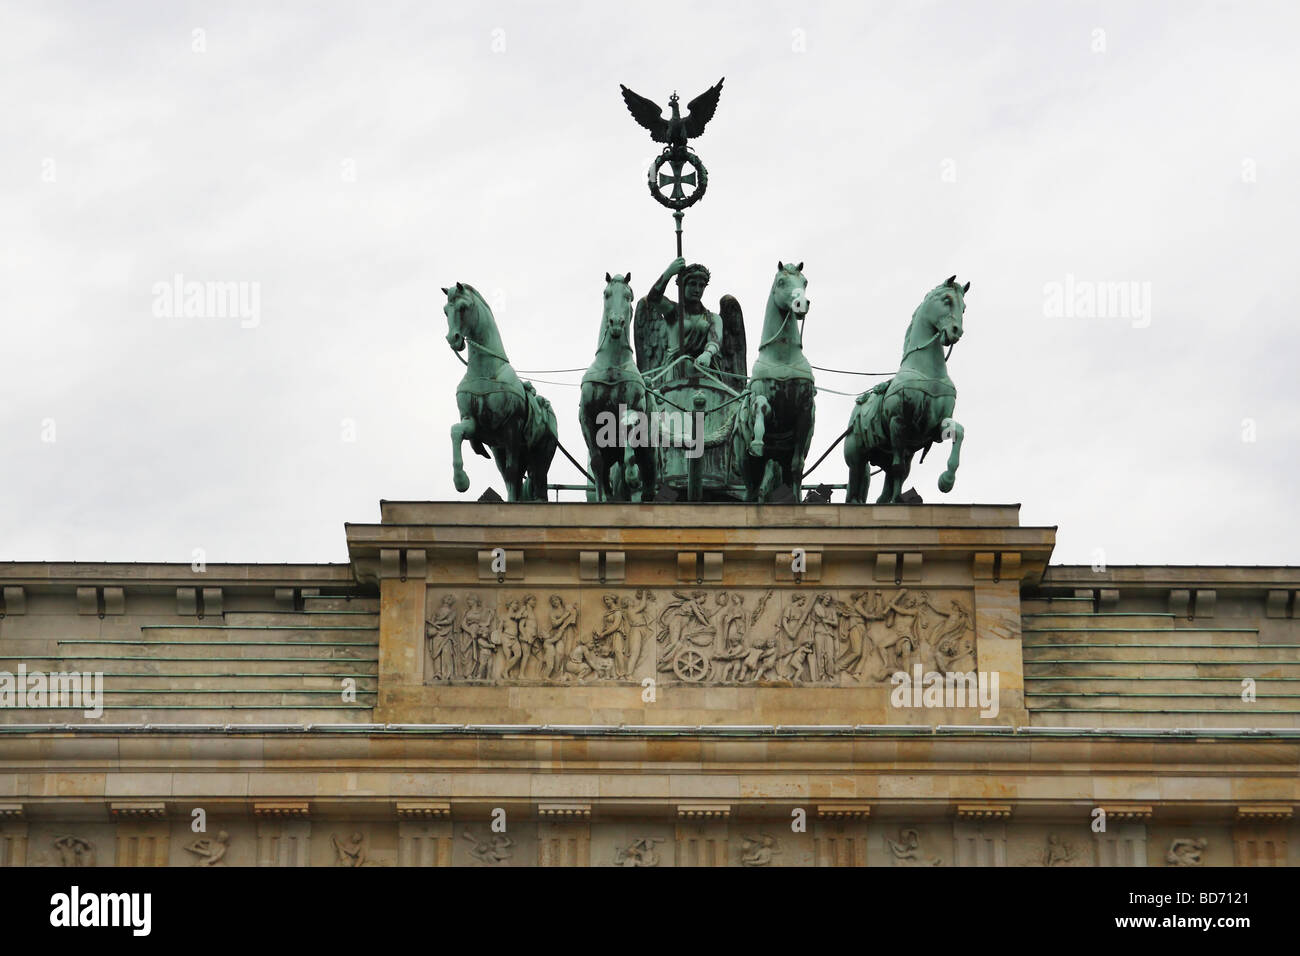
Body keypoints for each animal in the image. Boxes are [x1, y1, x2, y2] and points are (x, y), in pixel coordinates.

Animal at [444, 282, 556, 502]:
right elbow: (456, 431)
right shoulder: (474, 423)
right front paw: (461, 481)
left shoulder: (512, 427)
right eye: (445, 311)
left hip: (541, 455)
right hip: (500, 450)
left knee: (534, 481)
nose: (453, 339)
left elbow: (512, 473)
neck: (486, 371)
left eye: (463, 308)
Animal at [582, 274, 660, 504]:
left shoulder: (633, 409)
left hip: (650, 455)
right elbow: (597, 463)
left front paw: (632, 475)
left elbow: (629, 449)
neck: (612, 365)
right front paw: (602, 499)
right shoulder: (586, 416)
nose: (616, 323)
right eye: (606, 294)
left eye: (628, 296)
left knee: (647, 483)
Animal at [733, 261, 811, 502]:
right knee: (751, 488)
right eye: (781, 281)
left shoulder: (805, 410)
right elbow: (760, 405)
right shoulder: (763, 398)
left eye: (805, 281)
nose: (801, 304)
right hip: (746, 462)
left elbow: (797, 466)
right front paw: (758, 441)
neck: (782, 358)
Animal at [842, 274, 967, 504]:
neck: (927, 372)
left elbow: (959, 431)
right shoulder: (898, 421)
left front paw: (946, 480)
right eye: (946, 300)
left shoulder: (933, 425)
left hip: (894, 453)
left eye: (964, 307)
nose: (956, 332)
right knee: (857, 481)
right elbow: (898, 469)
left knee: (887, 484)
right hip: (857, 456)